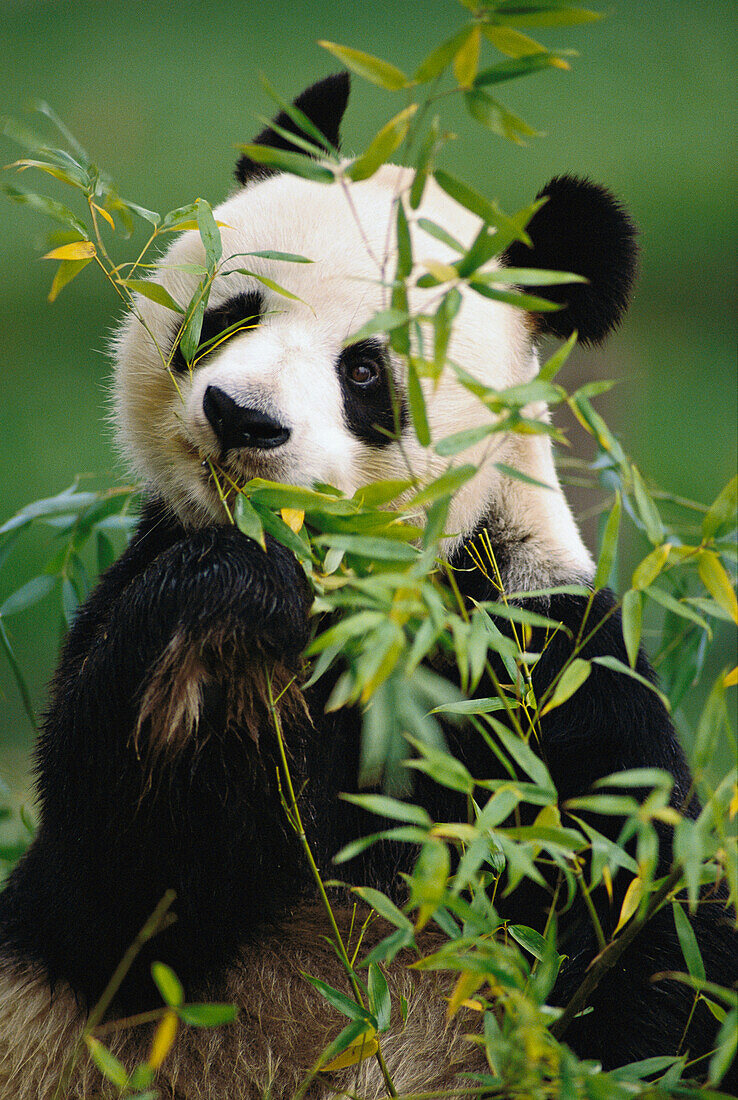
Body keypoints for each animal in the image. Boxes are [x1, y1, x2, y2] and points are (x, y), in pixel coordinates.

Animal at [0, 73, 734, 1095]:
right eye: (232, 312)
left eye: (362, 370)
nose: (241, 418)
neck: (359, 595)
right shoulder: (143, 581)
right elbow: (115, 895)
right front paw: (225, 607)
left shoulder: (535, 659)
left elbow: (639, 931)